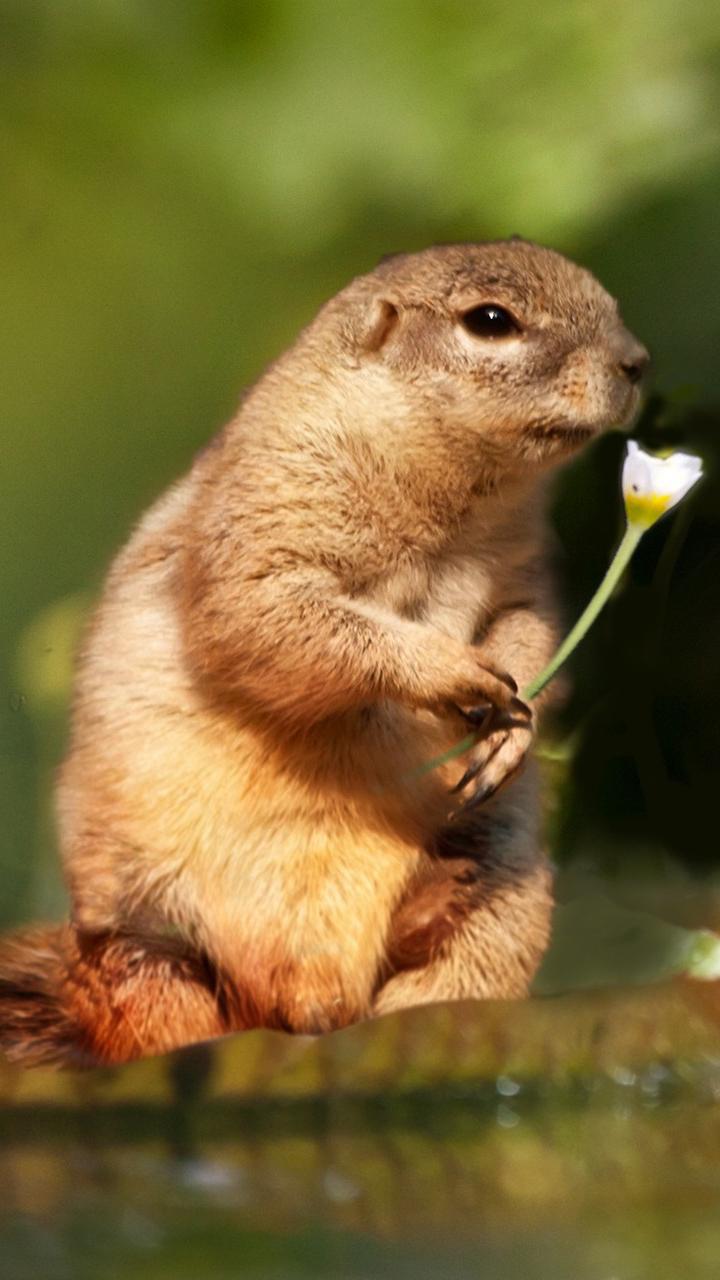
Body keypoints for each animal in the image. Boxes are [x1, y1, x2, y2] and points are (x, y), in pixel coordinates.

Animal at [0, 239, 648, 1067]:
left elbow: (531, 630)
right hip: (139, 944)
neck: (457, 501)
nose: (637, 362)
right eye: (490, 320)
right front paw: (451, 672)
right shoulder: (272, 515)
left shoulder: (527, 573)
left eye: (609, 301)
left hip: (507, 895)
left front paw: (511, 727)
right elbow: (279, 617)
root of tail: (312, 1001)